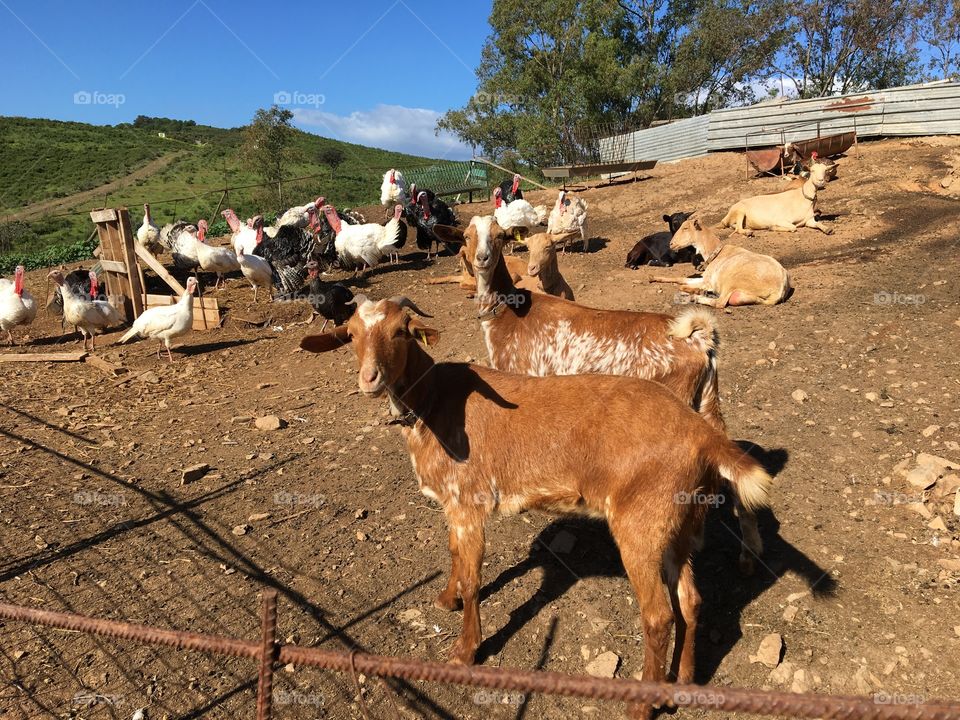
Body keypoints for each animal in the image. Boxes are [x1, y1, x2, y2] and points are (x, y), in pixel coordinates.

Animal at [300, 297, 773, 719]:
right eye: (351, 335)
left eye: (401, 330)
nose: (370, 378)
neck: (432, 403)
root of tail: (702, 436)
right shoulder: (453, 505)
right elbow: (454, 556)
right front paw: (446, 599)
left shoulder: (469, 501)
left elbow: (473, 575)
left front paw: (464, 652)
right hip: (678, 524)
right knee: (690, 600)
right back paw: (684, 682)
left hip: (641, 522)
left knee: (658, 615)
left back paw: (643, 703)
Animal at [432, 217, 764, 575]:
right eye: (466, 236)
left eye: (500, 236)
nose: (482, 259)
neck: (508, 314)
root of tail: (700, 340)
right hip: (707, 401)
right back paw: (748, 555)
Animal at [650, 217, 792, 307]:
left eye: (685, 228)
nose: (671, 244)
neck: (715, 253)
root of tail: (779, 287)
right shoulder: (705, 278)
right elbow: (681, 279)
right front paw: (654, 278)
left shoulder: (708, 282)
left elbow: (682, 285)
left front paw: (696, 291)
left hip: (733, 281)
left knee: (720, 303)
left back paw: (698, 297)